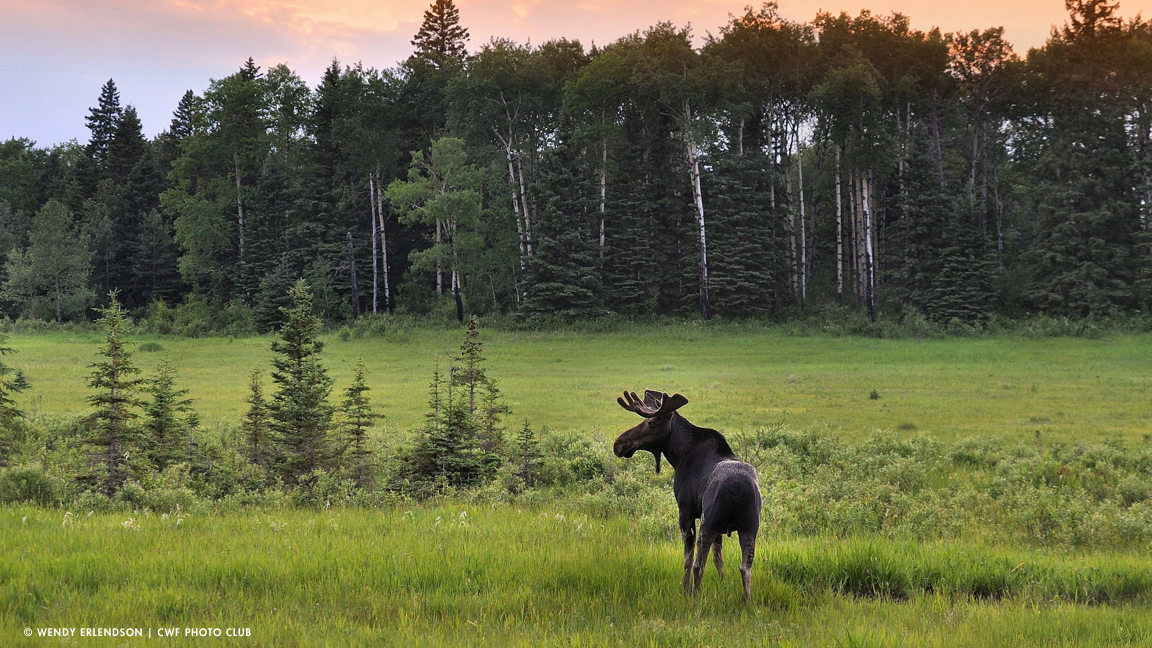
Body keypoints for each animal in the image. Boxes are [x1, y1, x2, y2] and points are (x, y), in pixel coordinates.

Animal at [612, 387, 764, 594]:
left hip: (709, 522)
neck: (678, 453)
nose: (618, 444)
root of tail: (737, 489)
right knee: (745, 568)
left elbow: (688, 559)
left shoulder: (686, 512)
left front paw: (684, 590)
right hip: (750, 525)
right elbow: (719, 559)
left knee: (699, 564)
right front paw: (723, 584)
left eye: (651, 422)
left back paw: (694, 596)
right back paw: (747, 600)